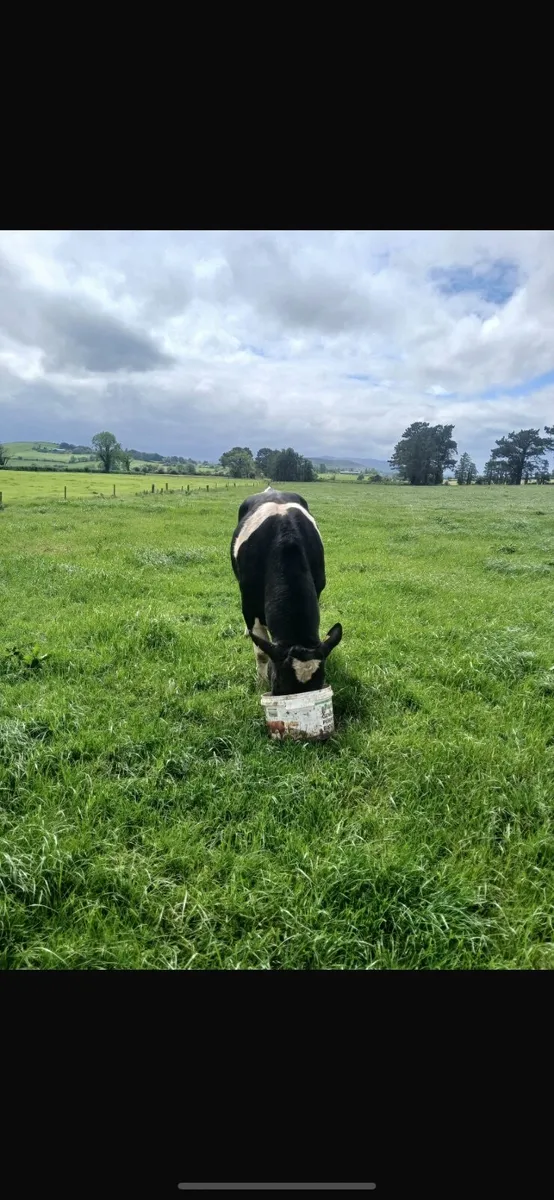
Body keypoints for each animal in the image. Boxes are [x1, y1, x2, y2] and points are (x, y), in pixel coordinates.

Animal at [230, 485, 342, 695]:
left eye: (320, 683)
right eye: (278, 685)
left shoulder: (318, 588)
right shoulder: (248, 603)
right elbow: (262, 653)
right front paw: (260, 684)